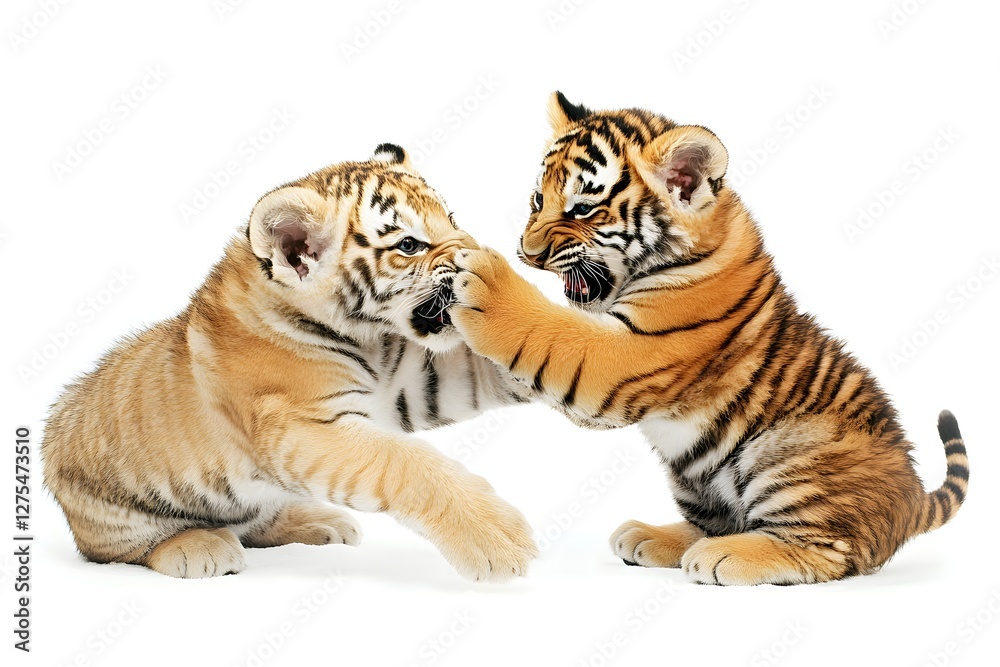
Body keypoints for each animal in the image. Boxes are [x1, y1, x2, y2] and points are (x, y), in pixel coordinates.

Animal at [42, 144, 537, 580]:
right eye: (410, 245)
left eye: (452, 220)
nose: (477, 254)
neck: (368, 339)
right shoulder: (305, 427)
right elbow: (406, 464)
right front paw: (500, 540)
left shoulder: (413, 386)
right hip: (114, 517)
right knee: (128, 550)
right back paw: (200, 547)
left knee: (258, 522)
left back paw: (322, 522)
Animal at [448, 93, 969, 585]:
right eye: (538, 201)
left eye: (583, 209)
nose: (527, 253)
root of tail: (913, 499)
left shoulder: (631, 351)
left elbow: (551, 330)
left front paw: (484, 280)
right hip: (694, 478)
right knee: (718, 521)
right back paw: (652, 538)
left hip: (792, 455)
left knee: (829, 552)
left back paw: (721, 557)